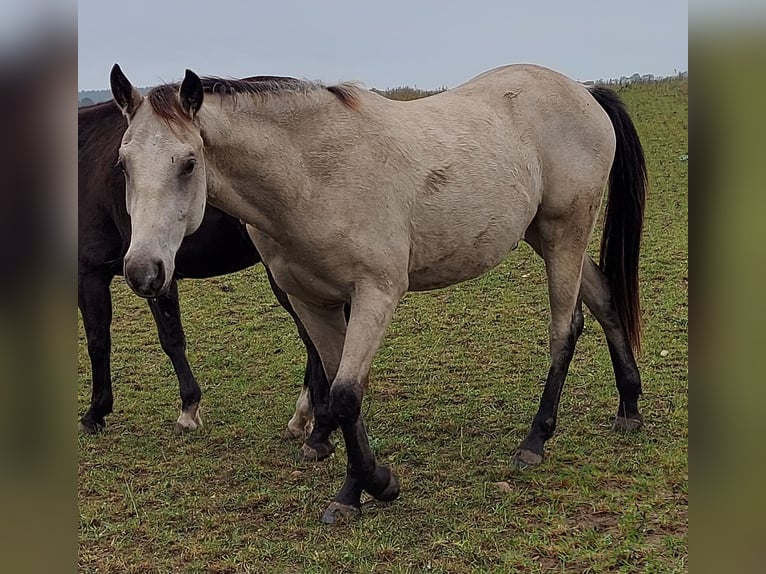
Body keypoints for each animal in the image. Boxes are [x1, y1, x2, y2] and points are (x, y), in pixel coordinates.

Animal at [109, 63, 647, 523]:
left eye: (188, 163)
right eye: (123, 164)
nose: (143, 271)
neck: (314, 175)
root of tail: (583, 91)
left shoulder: (377, 293)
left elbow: (347, 395)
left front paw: (370, 486)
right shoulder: (312, 301)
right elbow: (335, 388)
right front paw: (361, 484)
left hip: (565, 232)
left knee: (565, 328)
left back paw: (535, 441)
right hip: (543, 233)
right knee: (604, 301)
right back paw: (629, 407)